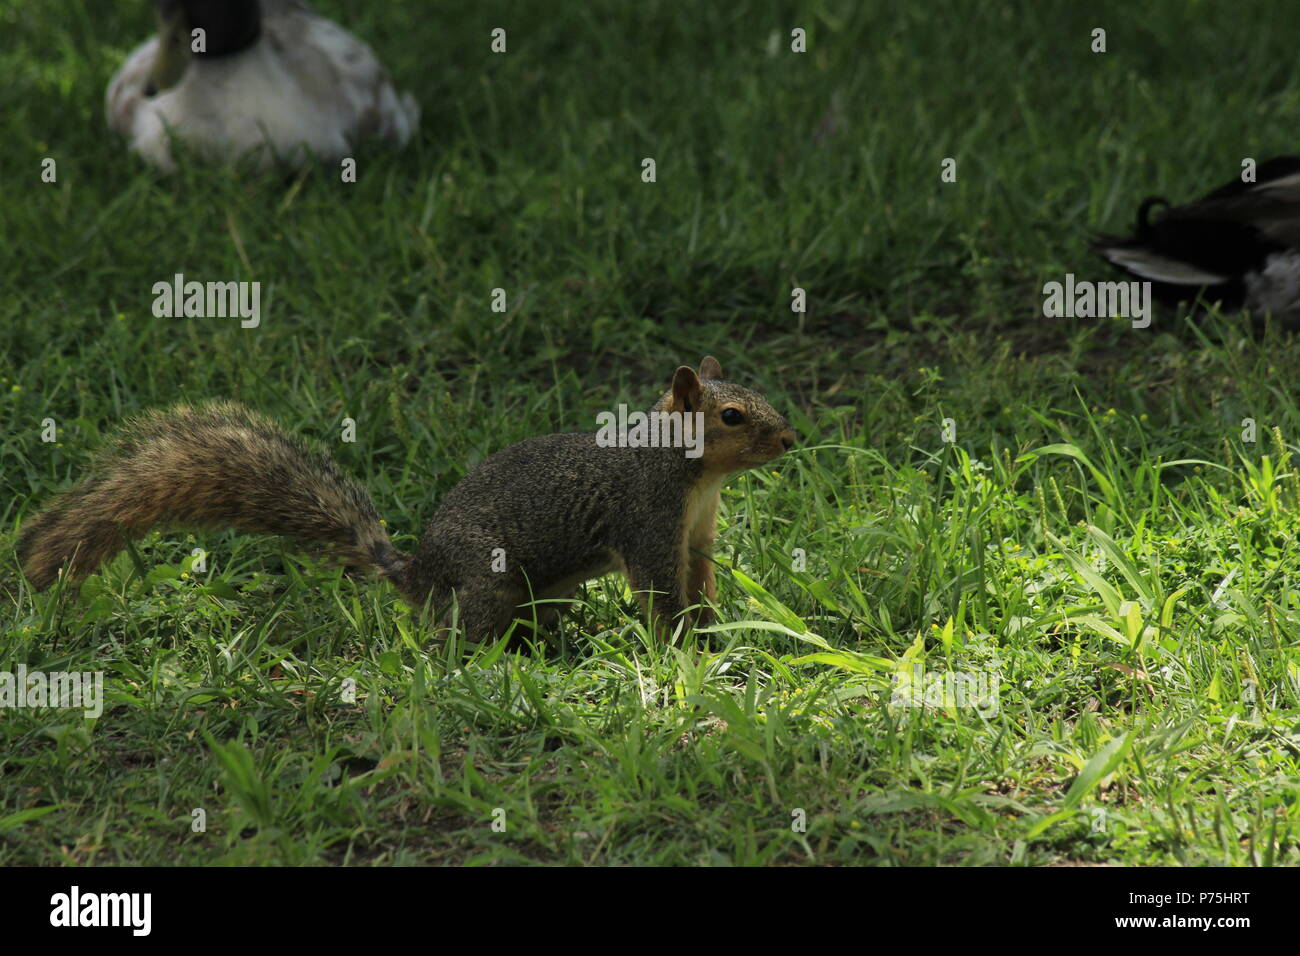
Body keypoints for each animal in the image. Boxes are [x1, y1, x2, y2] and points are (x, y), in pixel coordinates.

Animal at [17, 358, 790, 642]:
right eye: (731, 416)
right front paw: (683, 647)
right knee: (459, 637)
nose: (789, 438)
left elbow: (700, 579)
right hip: (488, 578)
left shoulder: (697, 532)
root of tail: (418, 575)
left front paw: (719, 628)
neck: (688, 475)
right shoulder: (646, 519)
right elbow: (659, 589)